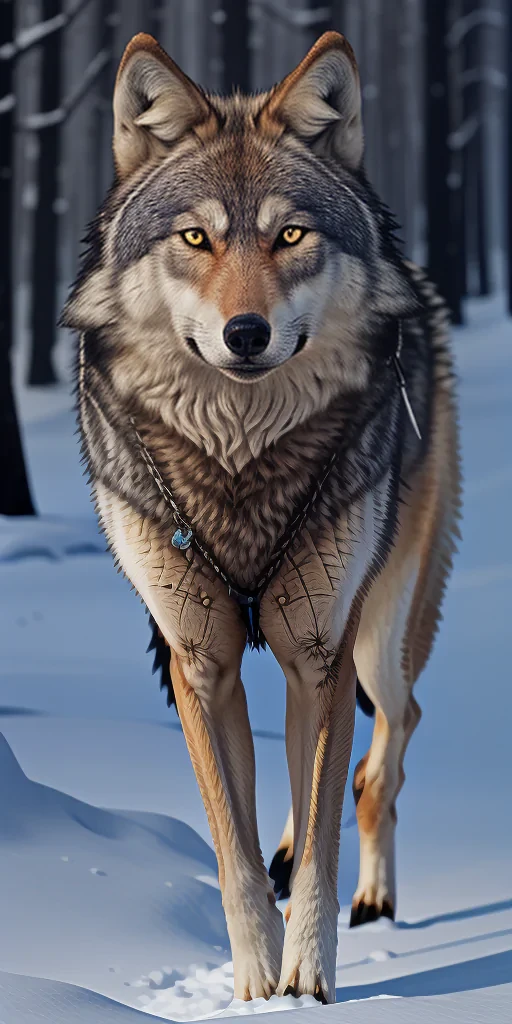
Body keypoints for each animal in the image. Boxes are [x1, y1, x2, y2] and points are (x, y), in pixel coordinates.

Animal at [62, 31, 461, 1004]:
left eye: (290, 235)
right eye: (195, 237)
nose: (246, 333)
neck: (240, 466)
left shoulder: (320, 653)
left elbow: (319, 847)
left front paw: (307, 983)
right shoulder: (199, 662)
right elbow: (234, 850)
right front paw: (252, 984)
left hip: (380, 629)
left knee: (388, 743)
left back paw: (376, 897)